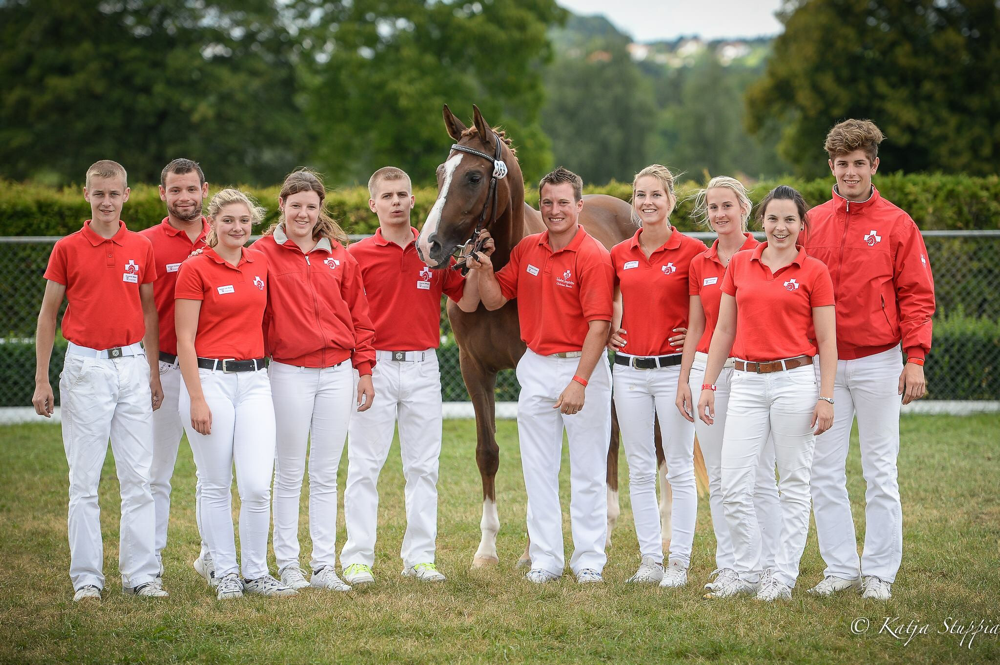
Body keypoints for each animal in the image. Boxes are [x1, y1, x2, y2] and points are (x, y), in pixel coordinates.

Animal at [418, 106, 708, 568]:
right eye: (441, 172)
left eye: (474, 177)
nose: (428, 245)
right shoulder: (472, 367)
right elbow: (488, 453)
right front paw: (487, 550)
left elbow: (540, 456)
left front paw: (531, 551)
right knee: (612, 431)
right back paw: (606, 528)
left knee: (657, 438)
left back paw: (663, 534)